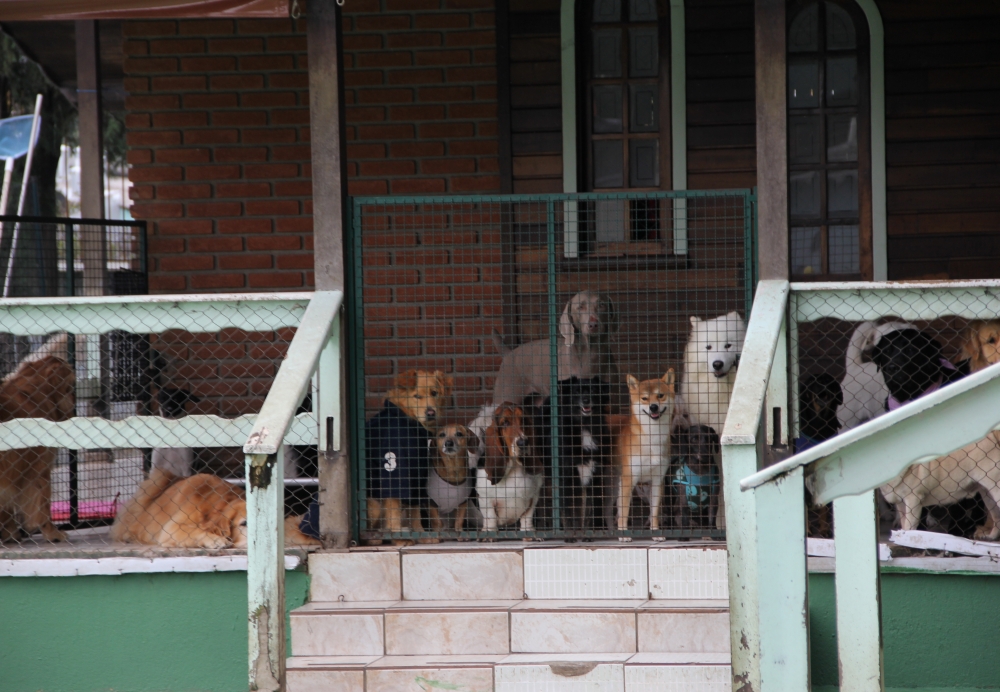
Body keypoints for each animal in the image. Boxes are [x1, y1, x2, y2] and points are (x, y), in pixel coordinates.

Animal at [0, 354, 76, 544]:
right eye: (71, 386)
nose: (74, 404)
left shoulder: (10, 473)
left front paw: (10, 534)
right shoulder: (38, 469)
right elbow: (43, 506)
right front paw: (53, 534)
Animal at [368, 370, 454, 544]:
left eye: (434, 393)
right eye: (417, 396)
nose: (430, 412)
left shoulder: (417, 476)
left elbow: (415, 513)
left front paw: (421, 535)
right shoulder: (394, 474)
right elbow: (394, 513)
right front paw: (399, 538)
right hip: (374, 505)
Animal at [608, 374, 680, 540]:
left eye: (660, 395)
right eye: (644, 398)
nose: (653, 407)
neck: (652, 439)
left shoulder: (657, 480)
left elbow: (654, 513)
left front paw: (656, 533)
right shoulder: (628, 479)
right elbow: (624, 513)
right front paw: (624, 534)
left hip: (615, 485)